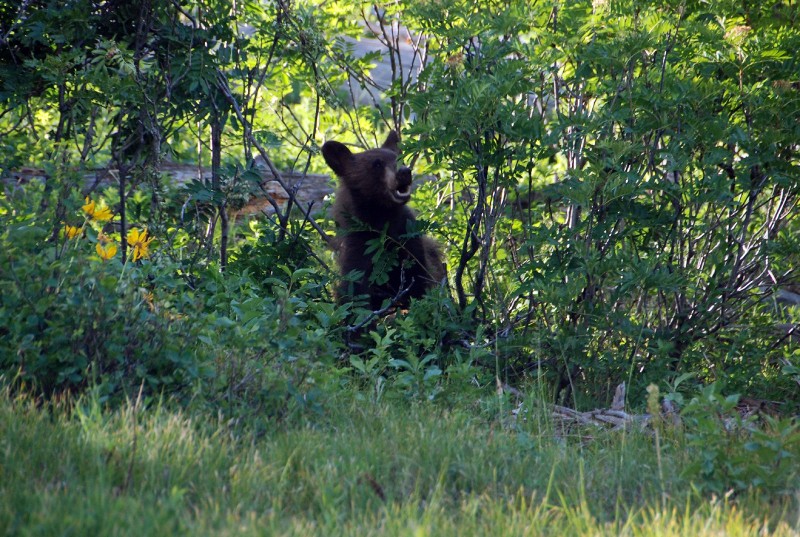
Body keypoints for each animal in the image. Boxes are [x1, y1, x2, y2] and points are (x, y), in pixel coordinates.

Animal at [318, 131, 444, 310]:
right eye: (377, 164)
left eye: (399, 158)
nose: (404, 172)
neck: (383, 217)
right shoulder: (359, 247)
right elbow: (355, 294)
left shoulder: (410, 238)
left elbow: (418, 282)